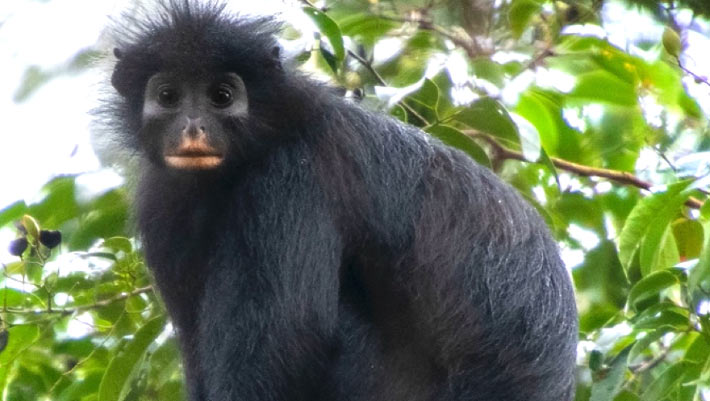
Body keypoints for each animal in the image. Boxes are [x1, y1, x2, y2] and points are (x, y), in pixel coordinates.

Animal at [101, 1, 578, 400]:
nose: (193, 127)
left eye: (222, 96)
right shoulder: (162, 203)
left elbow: (290, 335)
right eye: (168, 96)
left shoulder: (291, 177)